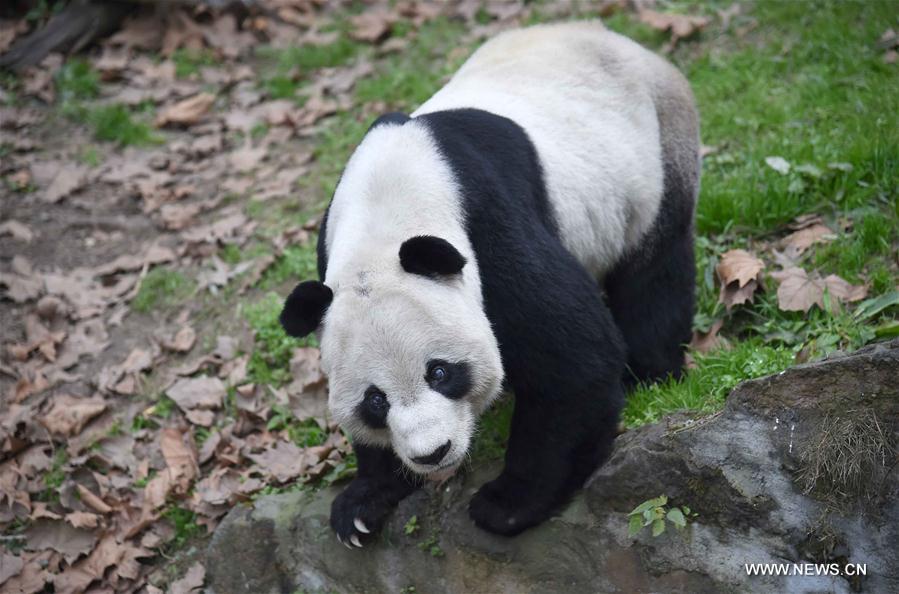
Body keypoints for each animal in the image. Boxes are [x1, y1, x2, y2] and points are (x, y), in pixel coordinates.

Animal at [280, 21, 699, 543]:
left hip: (658, 153)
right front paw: (362, 504)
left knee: (654, 272)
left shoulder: (486, 225)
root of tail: (613, 36)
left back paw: (651, 371)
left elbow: (574, 359)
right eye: (374, 400)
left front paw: (507, 504)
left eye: (439, 372)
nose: (432, 453)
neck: (386, 211)